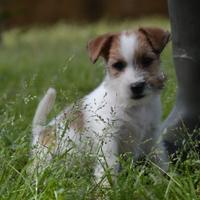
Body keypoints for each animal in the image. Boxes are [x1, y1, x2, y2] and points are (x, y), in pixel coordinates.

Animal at [30, 26, 170, 183]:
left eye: (147, 60)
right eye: (118, 65)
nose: (137, 86)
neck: (133, 106)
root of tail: (40, 131)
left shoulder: (152, 135)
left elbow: (158, 158)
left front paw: (164, 180)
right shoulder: (109, 138)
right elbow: (110, 164)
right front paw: (107, 186)